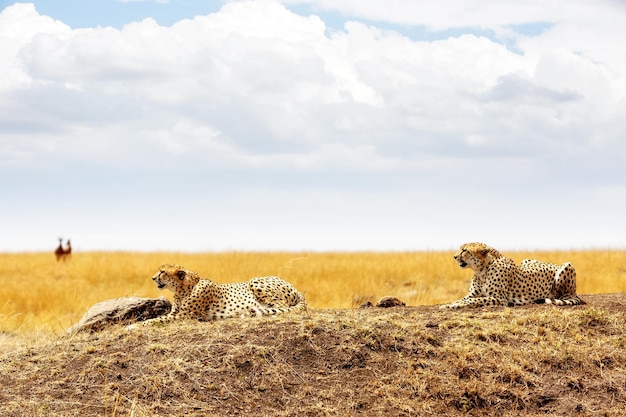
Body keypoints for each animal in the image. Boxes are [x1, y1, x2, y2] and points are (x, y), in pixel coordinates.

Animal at [130, 264, 306, 324]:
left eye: (163, 272)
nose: (153, 278)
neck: (183, 290)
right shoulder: (176, 314)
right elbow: (155, 318)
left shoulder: (183, 316)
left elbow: (154, 320)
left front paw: (132, 326)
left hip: (255, 281)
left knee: (281, 307)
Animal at [436, 242, 584, 308]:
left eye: (464, 250)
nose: (454, 256)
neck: (481, 270)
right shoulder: (472, 294)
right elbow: (464, 299)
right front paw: (451, 303)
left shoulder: (500, 298)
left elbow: (475, 300)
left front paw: (453, 305)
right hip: (527, 260)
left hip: (567, 265)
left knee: (563, 296)